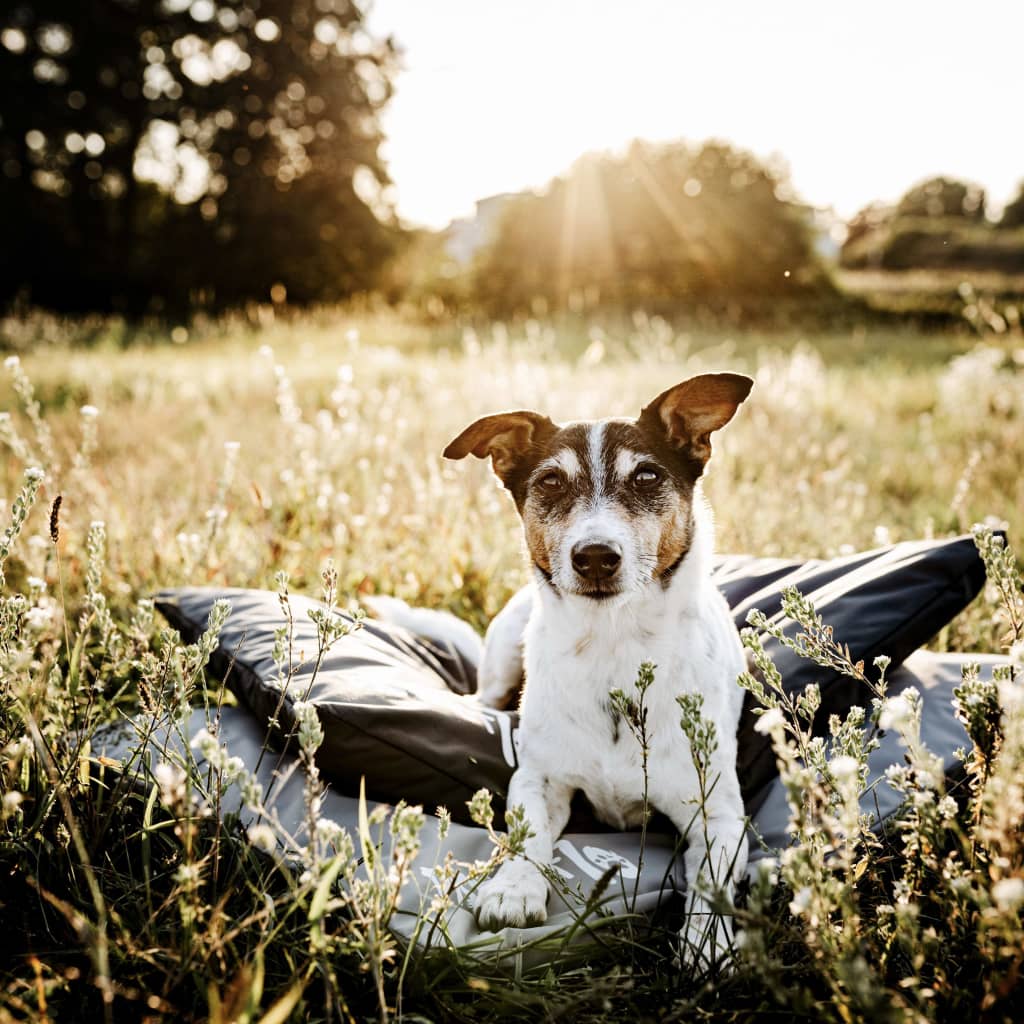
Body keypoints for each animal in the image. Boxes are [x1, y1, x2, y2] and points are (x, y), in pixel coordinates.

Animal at [444, 372, 757, 962]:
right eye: (549, 481)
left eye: (647, 475)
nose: (593, 556)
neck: (613, 644)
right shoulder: (539, 777)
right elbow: (527, 832)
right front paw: (513, 889)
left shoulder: (718, 812)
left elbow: (711, 880)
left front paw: (705, 943)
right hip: (505, 649)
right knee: (483, 695)